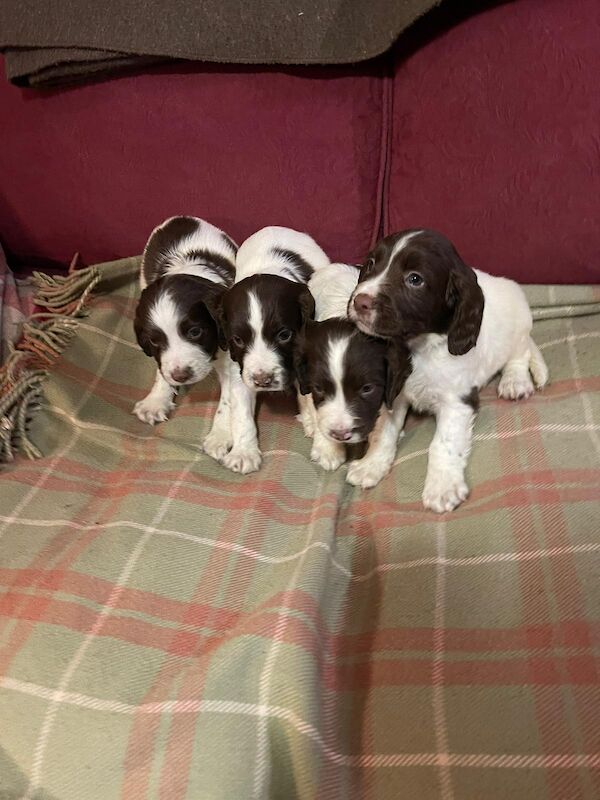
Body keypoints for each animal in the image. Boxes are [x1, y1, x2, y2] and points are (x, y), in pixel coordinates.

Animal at [132, 216, 236, 460]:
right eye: (154, 341)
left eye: (195, 332)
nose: (181, 377)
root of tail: (182, 218)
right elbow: (162, 369)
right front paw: (156, 401)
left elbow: (229, 399)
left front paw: (220, 436)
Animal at [214, 227, 328, 476]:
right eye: (238, 339)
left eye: (284, 335)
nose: (263, 381)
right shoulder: (241, 370)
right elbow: (242, 413)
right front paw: (243, 453)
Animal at [296, 264, 412, 488]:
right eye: (319, 388)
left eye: (367, 389)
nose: (341, 434)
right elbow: (316, 409)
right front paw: (328, 449)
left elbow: (384, 427)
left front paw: (370, 466)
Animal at [346, 227, 548, 512]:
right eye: (371, 264)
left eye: (415, 279)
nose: (359, 301)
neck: (420, 348)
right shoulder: (393, 393)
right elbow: (384, 431)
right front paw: (371, 465)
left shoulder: (458, 401)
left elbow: (443, 444)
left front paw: (442, 487)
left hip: (520, 323)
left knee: (520, 353)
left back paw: (514, 381)